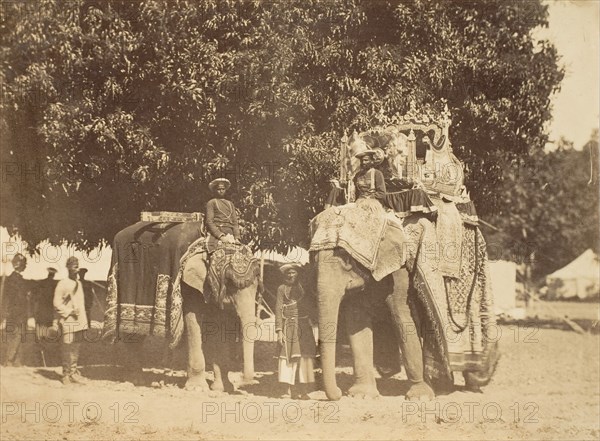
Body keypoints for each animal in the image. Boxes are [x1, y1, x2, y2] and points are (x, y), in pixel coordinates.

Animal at [102, 220, 260, 392]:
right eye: (230, 283)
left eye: (257, 284)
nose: (244, 382)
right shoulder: (188, 286)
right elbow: (193, 322)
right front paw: (197, 388)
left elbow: (218, 328)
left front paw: (222, 388)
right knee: (132, 335)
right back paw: (136, 380)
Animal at [310, 205, 496, 400]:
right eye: (313, 260)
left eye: (346, 261)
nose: (339, 393)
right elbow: (357, 323)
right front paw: (362, 395)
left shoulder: (402, 270)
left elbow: (402, 317)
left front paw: (420, 397)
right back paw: (445, 386)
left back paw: (474, 381)